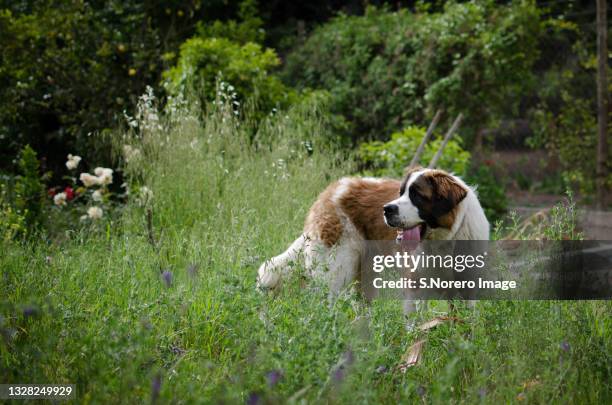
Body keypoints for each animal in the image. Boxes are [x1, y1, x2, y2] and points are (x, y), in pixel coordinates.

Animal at [256, 167, 490, 294]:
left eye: (417, 195)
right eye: (401, 192)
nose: (387, 209)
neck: (445, 240)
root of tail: (330, 191)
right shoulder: (415, 282)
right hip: (336, 269)